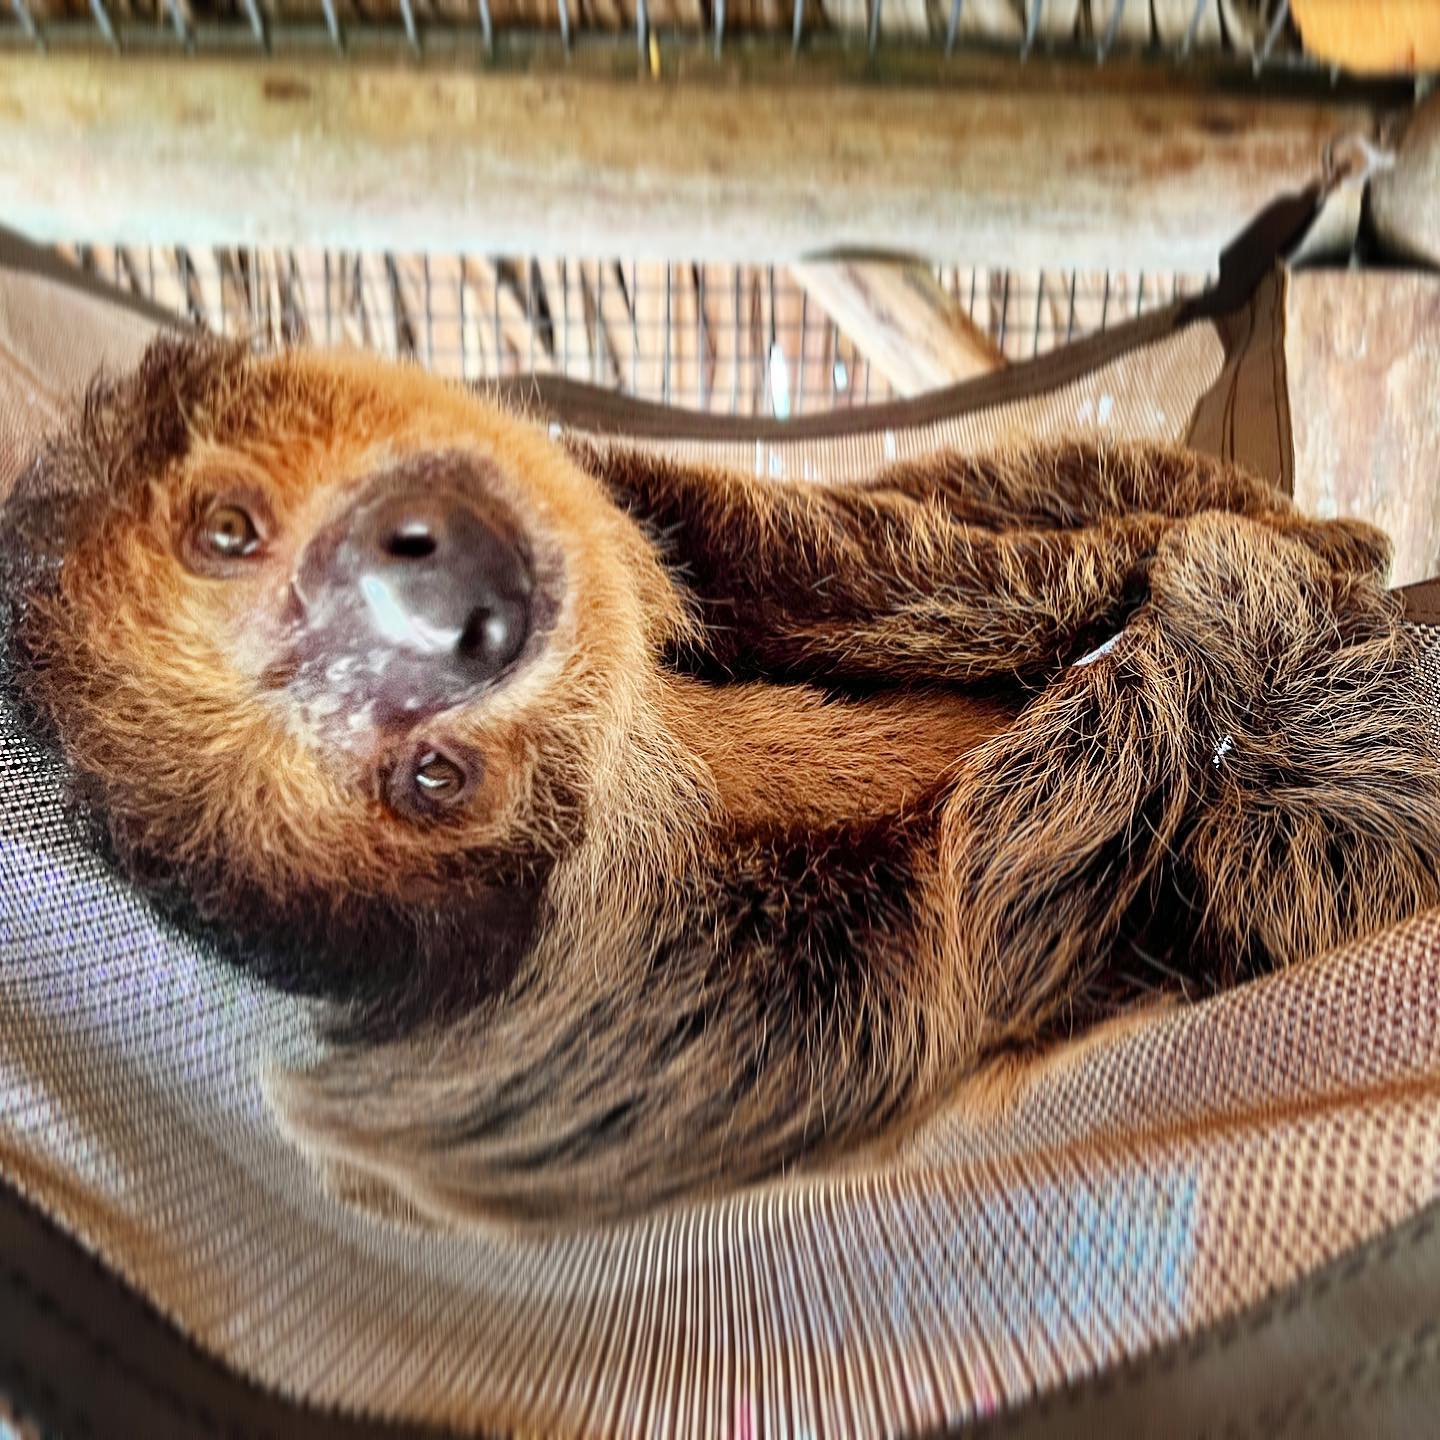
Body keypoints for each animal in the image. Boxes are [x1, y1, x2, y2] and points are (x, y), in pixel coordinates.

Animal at [2, 333, 1438, 1228]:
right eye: (428, 778)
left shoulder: (677, 518)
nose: (443, 609)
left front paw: (1224, 541)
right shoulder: (615, 1024)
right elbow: (955, 937)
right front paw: (1200, 594)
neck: (655, 747)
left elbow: (839, 526)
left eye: (224, 531)